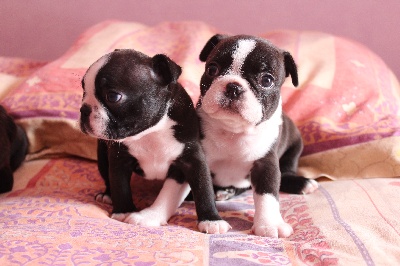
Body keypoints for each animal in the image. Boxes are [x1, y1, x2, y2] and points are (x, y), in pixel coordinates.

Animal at [79, 48, 230, 234]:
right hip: (101, 155)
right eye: (84, 92)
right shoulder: (119, 159)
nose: (83, 109)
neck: (150, 133)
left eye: (113, 96)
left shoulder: (193, 159)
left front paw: (211, 220)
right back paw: (107, 194)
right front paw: (123, 211)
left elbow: (204, 188)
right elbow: (119, 184)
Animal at [197, 34, 318, 237]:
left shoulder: (265, 163)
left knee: (286, 172)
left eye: (266, 80)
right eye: (212, 69)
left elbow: (268, 194)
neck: (234, 131)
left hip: (295, 145)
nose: (233, 86)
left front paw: (270, 224)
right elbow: (203, 188)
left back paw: (302, 183)